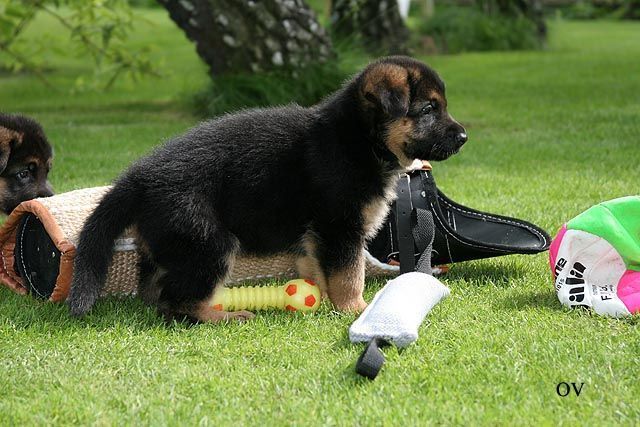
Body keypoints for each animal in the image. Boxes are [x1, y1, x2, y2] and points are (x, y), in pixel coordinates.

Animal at [67, 56, 468, 324]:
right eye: (428, 109)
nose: (464, 136)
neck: (360, 140)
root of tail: (139, 178)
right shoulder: (340, 229)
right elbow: (348, 274)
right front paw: (356, 309)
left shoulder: (319, 236)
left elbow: (320, 269)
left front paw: (326, 300)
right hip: (208, 245)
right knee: (178, 301)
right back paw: (224, 317)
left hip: (169, 243)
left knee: (154, 291)